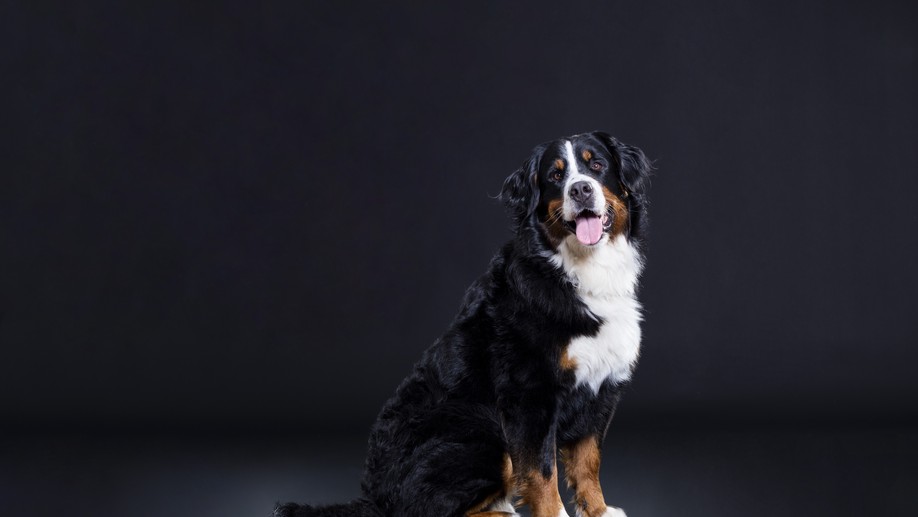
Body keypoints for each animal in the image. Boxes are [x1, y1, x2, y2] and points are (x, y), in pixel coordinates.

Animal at [276, 131, 651, 517]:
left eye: (597, 165)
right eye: (555, 176)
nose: (580, 190)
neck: (575, 272)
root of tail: (374, 498)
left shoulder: (602, 388)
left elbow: (588, 461)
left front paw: (599, 510)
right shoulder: (530, 394)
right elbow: (542, 470)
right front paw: (556, 514)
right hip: (482, 435)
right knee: (431, 510)